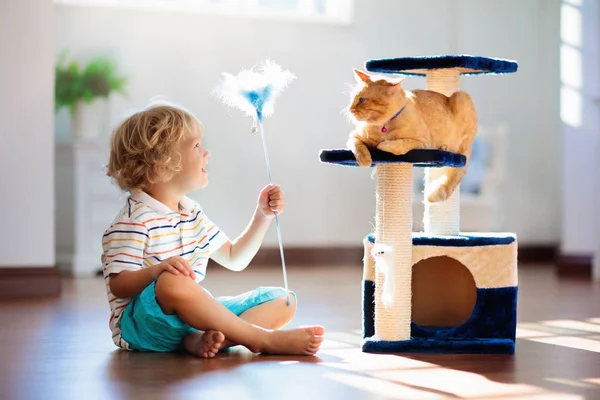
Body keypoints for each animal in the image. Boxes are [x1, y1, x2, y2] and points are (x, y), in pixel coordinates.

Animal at [346, 68, 478, 203]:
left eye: (362, 100)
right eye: (352, 98)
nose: (349, 109)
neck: (382, 126)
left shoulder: (423, 143)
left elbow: (398, 144)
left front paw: (382, 145)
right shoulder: (354, 135)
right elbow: (356, 145)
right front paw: (365, 159)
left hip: (462, 97)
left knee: (459, 149)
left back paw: (445, 148)